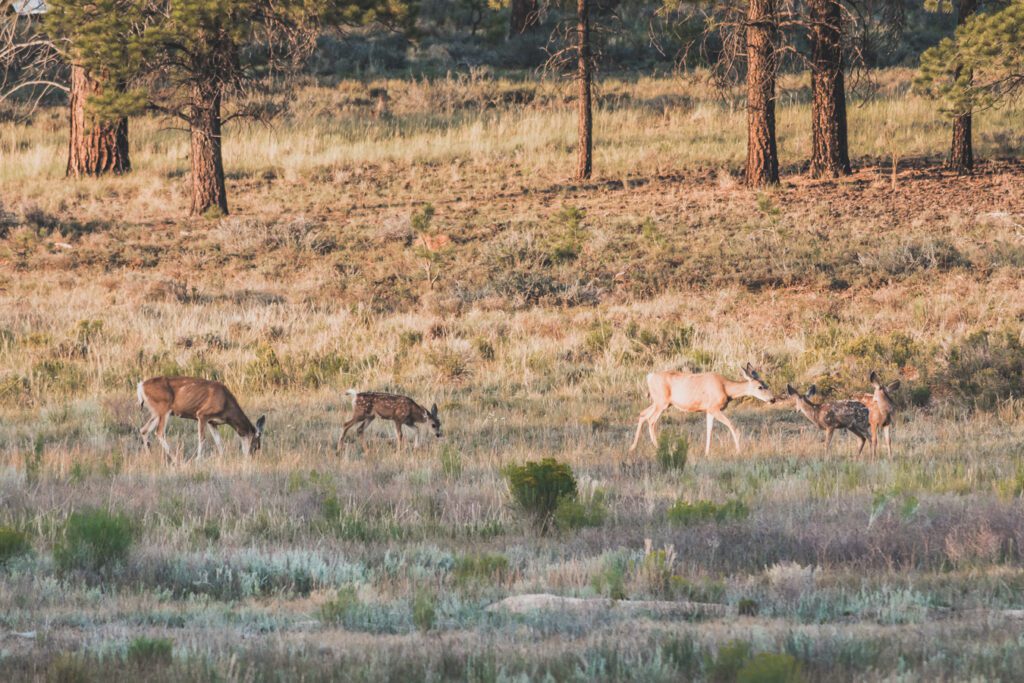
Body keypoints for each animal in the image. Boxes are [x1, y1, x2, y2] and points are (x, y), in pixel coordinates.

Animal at [136, 376, 264, 462]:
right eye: (256, 445)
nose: (250, 457)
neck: (226, 405)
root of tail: (141, 386)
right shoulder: (202, 414)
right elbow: (202, 438)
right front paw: (198, 459)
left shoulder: (212, 422)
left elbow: (218, 441)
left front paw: (223, 457)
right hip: (164, 408)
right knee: (159, 432)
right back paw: (175, 459)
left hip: (156, 412)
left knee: (144, 430)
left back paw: (149, 456)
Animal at [622, 362, 774, 458]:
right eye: (760, 387)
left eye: (766, 384)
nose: (772, 399)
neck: (726, 388)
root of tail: (650, 377)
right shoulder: (714, 407)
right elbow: (732, 425)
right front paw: (739, 451)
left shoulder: (708, 410)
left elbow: (709, 430)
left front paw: (706, 453)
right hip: (662, 402)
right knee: (651, 420)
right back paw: (659, 448)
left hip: (659, 402)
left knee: (642, 414)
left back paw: (632, 448)